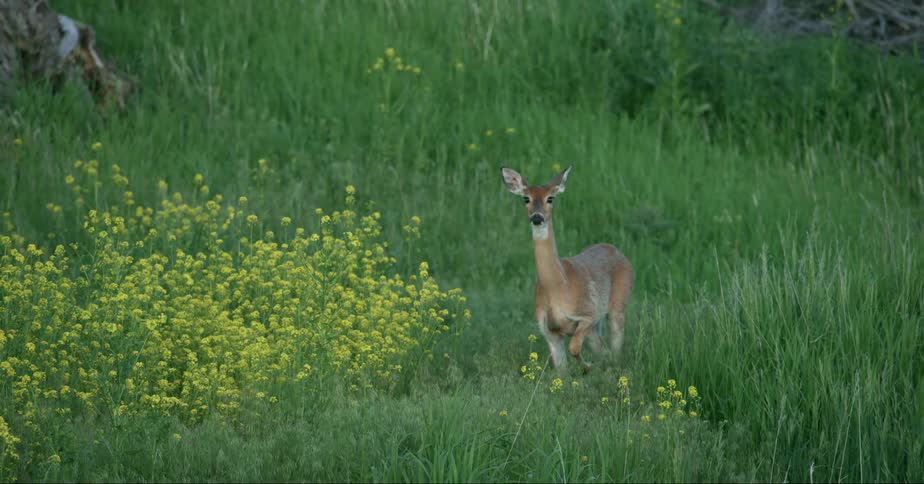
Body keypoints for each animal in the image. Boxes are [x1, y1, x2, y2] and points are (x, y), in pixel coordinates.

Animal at [501, 165, 633, 371]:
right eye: (526, 198)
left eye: (550, 198)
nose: (537, 217)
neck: (558, 288)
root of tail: (616, 250)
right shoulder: (547, 330)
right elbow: (561, 370)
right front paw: (584, 369)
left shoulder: (588, 313)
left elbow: (574, 347)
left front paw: (587, 367)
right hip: (597, 325)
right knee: (603, 349)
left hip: (618, 303)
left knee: (616, 347)